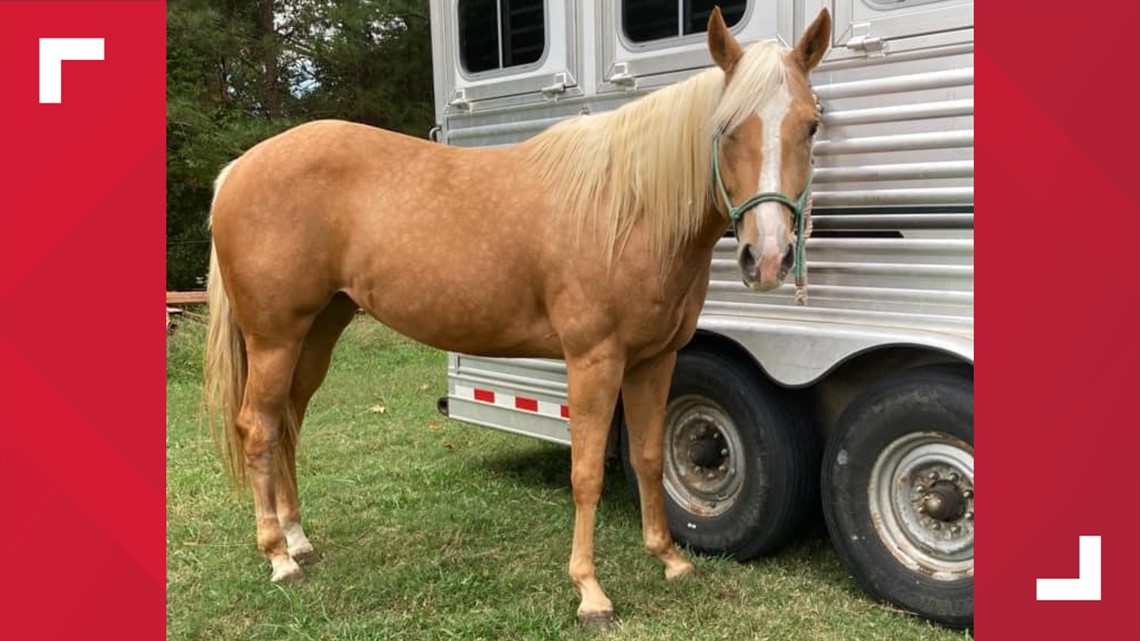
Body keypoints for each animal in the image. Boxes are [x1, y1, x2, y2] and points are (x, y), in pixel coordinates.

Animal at [204, 7, 831, 628]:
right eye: (727, 129)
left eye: (811, 125)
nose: (767, 258)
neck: (626, 208)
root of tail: (237, 170)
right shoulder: (594, 361)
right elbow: (587, 473)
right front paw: (590, 593)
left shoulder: (655, 361)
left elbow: (650, 458)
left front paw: (670, 559)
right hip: (274, 338)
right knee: (258, 428)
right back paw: (279, 558)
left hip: (316, 332)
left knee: (286, 423)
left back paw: (298, 538)